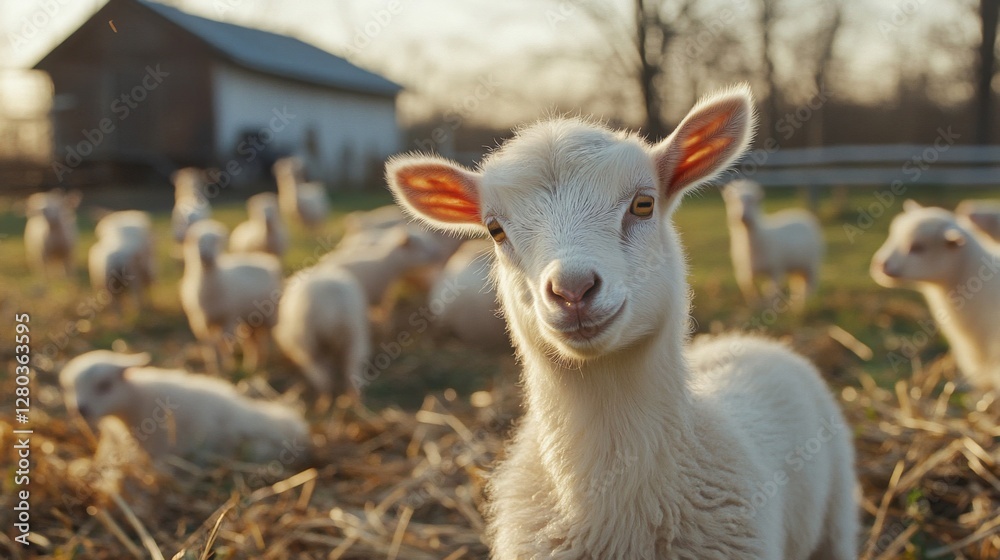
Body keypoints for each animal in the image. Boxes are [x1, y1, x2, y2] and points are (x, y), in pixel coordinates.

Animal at [180, 220, 283, 373]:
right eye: (197, 240)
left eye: (215, 241)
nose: (205, 254)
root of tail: (264, 259)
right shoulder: (201, 322)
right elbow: (210, 346)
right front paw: (214, 368)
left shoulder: (229, 318)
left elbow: (225, 342)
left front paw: (228, 366)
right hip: (250, 318)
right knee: (252, 342)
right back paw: (252, 364)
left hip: (270, 315)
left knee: (266, 339)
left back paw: (264, 362)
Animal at [273, 265, 370, 400]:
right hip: (354, 335)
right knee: (351, 369)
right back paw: (352, 398)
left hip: (307, 340)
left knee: (321, 376)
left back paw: (325, 399)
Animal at [721, 179, 824, 307]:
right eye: (733, 201)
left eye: (753, 201)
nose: (742, 216)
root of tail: (802, 213)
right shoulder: (744, 273)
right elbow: (750, 291)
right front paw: (755, 306)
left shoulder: (775, 269)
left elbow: (771, 291)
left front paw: (769, 305)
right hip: (796, 265)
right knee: (798, 284)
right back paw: (797, 303)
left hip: (812, 263)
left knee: (811, 284)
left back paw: (805, 303)